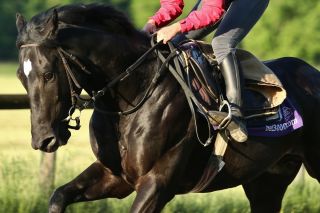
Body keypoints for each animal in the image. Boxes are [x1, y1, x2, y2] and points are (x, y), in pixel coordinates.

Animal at [15, 3, 320, 213]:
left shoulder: (157, 183)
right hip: (267, 179)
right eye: (21, 75)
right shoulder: (115, 176)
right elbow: (58, 196)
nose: (43, 139)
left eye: (48, 74)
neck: (135, 91)